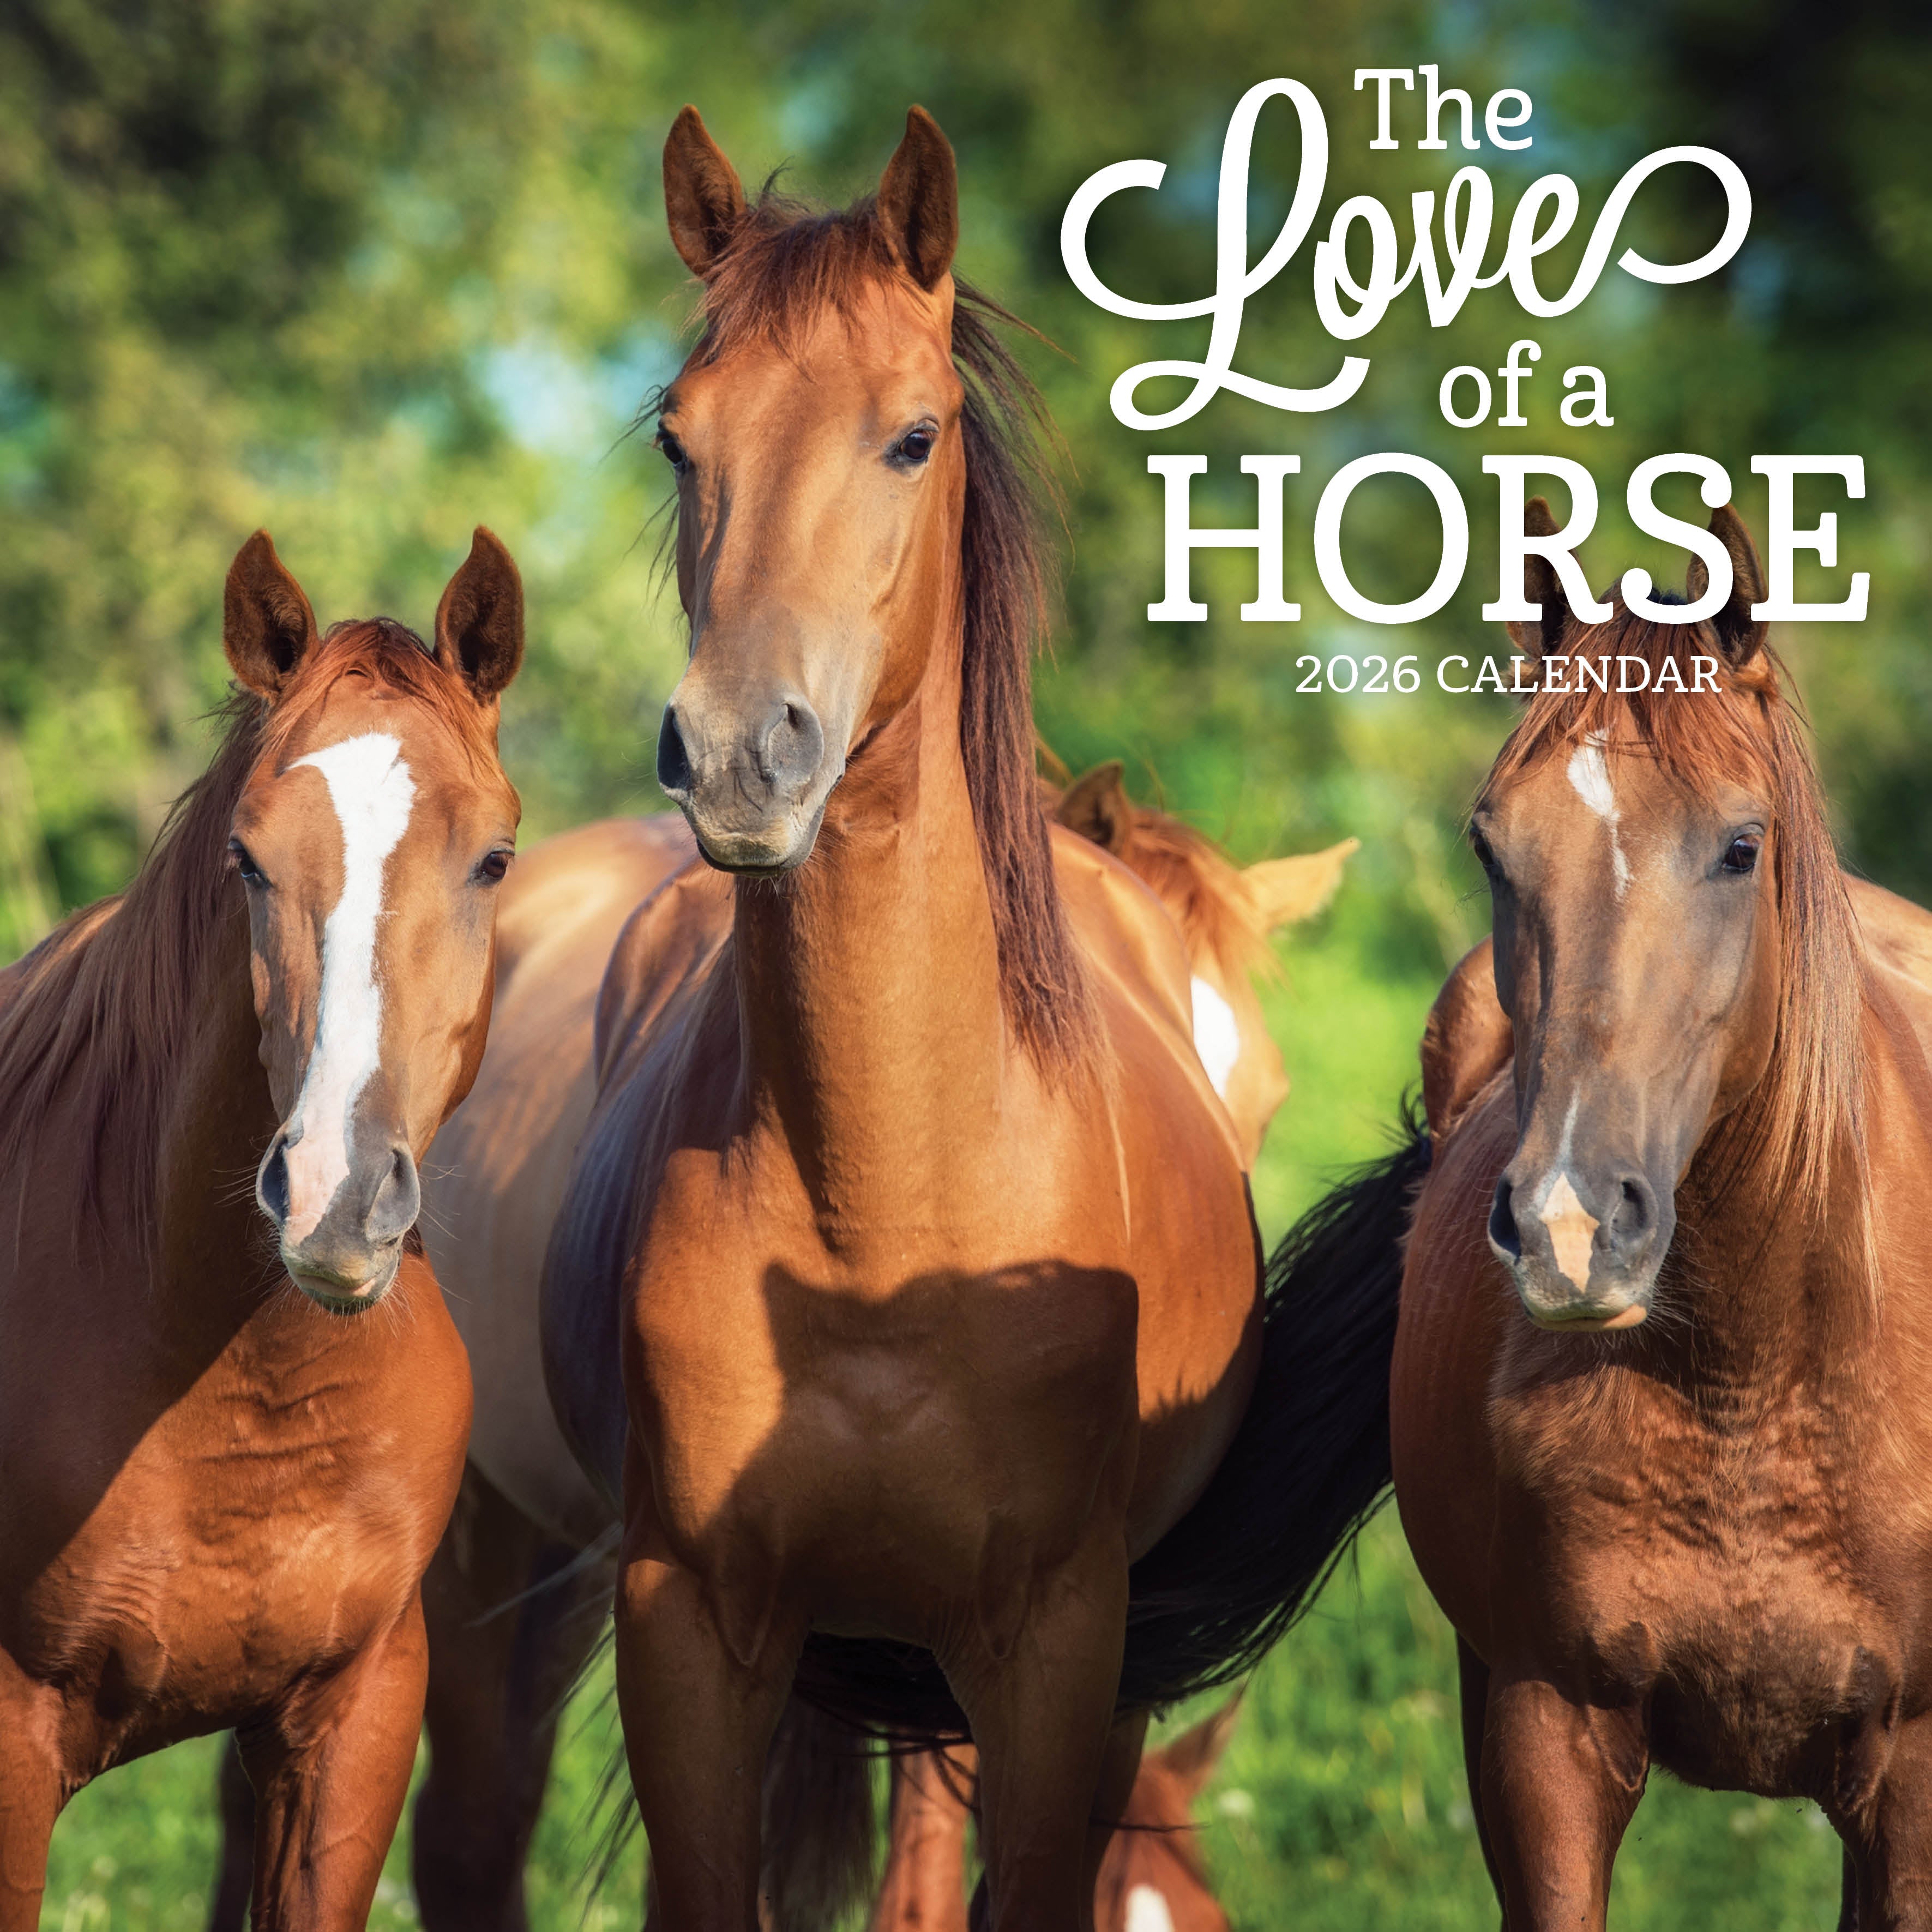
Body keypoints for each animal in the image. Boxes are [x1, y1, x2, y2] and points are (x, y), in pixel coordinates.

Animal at [1392, 500, 1932, 1929]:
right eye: (1490, 847)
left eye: (1741, 846)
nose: (1571, 1226)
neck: (1748, 1376)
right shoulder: (1546, 1737)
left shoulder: (1914, 1776)